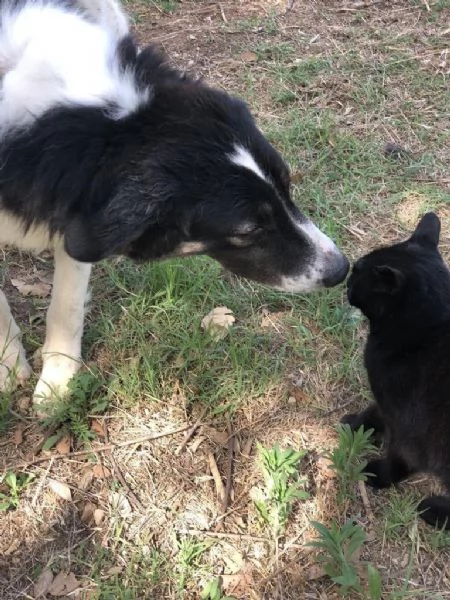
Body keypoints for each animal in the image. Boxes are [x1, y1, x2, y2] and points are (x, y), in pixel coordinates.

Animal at [0, 0, 348, 406]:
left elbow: (66, 303)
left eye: (287, 185)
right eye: (247, 230)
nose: (342, 269)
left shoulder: (74, 218)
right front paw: (10, 367)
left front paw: (58, 379)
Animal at [342, 212, 450, 528]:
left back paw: (433, 511)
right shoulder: (387, 400)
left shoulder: (406, 422)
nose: (346, 280)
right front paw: (358, 427)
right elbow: (375, 411)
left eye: (359, 272)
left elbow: (399, 453)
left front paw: (379, 474)